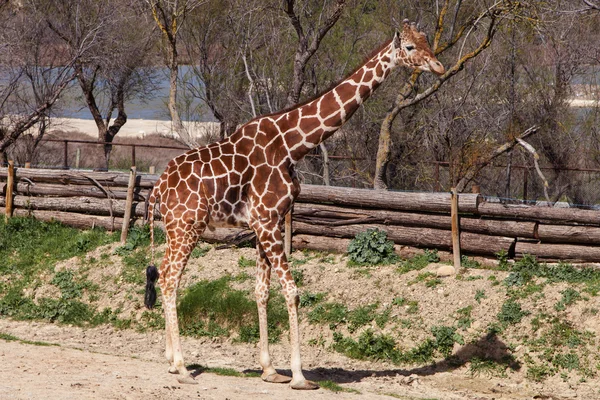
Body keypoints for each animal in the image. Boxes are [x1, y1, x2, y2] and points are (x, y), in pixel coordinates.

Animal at [145, 19, 446, 390]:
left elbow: (261, 291)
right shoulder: (266, 221)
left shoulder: (267, 222)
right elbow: (291, 291)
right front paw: (300, 376)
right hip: (188, 225)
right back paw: (183, 367)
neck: (292, 145)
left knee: (163, 275)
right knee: (170, 278)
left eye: (427, 41)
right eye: (409, 47)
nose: (438, 66)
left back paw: (172, 362)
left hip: (173, 228)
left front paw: (270, 370)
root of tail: (158, 186)